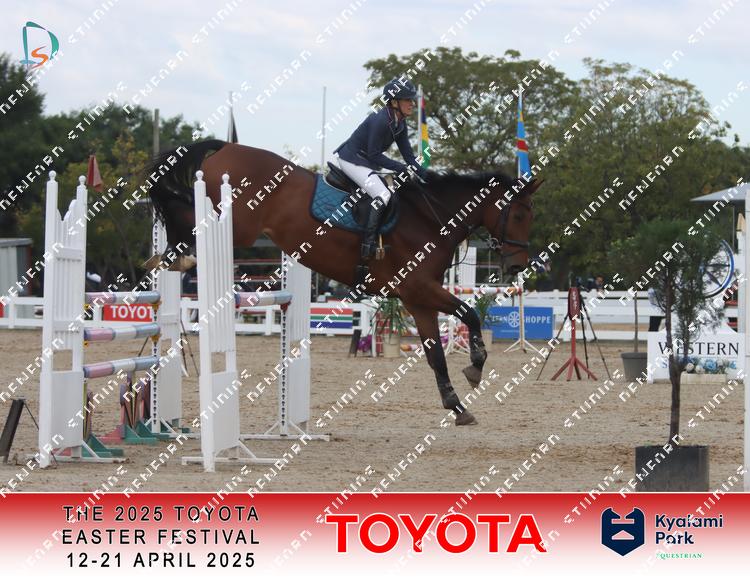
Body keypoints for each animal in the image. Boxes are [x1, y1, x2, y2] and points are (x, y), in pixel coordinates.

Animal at [145, 140, 540, 425]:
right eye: (520, 214)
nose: (518, 264)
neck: (429, 218)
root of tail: (226, 147)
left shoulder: (417, 299)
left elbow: (436, 355)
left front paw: (457, 405)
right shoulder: (421, 289)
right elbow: (470, 313)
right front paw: (475, 367)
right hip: (234, 222)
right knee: (185, 208)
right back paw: (176, 252)